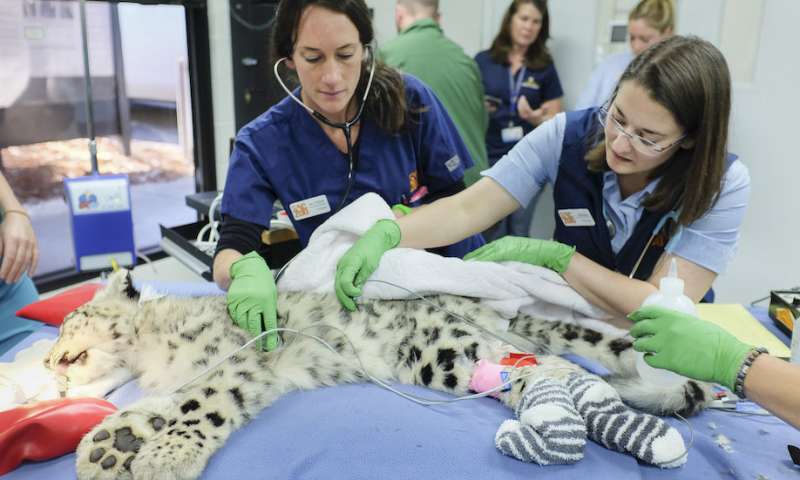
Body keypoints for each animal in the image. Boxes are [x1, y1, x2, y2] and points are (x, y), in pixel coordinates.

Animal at [47, 272, 708, 478]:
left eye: (67, 325)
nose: (51, 363)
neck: (150, 356)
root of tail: (471, 305)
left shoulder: (237, 358)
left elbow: (204, 402)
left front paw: (163, 455)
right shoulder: (182, 380)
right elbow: (157, 407)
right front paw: (110, 445)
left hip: (446, 354)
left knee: (556, 367)